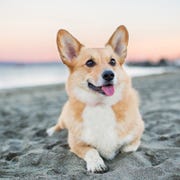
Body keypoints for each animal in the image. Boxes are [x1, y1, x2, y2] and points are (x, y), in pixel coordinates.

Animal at [46, 25, 143, 173]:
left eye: (113, 61)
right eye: (90, 62)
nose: (109, 74)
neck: (101, 105)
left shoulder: (137, 133)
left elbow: (129, 147)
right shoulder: (76, 143)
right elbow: (91, 151)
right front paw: (97, 164)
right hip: (64, 118)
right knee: (59, 124)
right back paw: (51, 131)